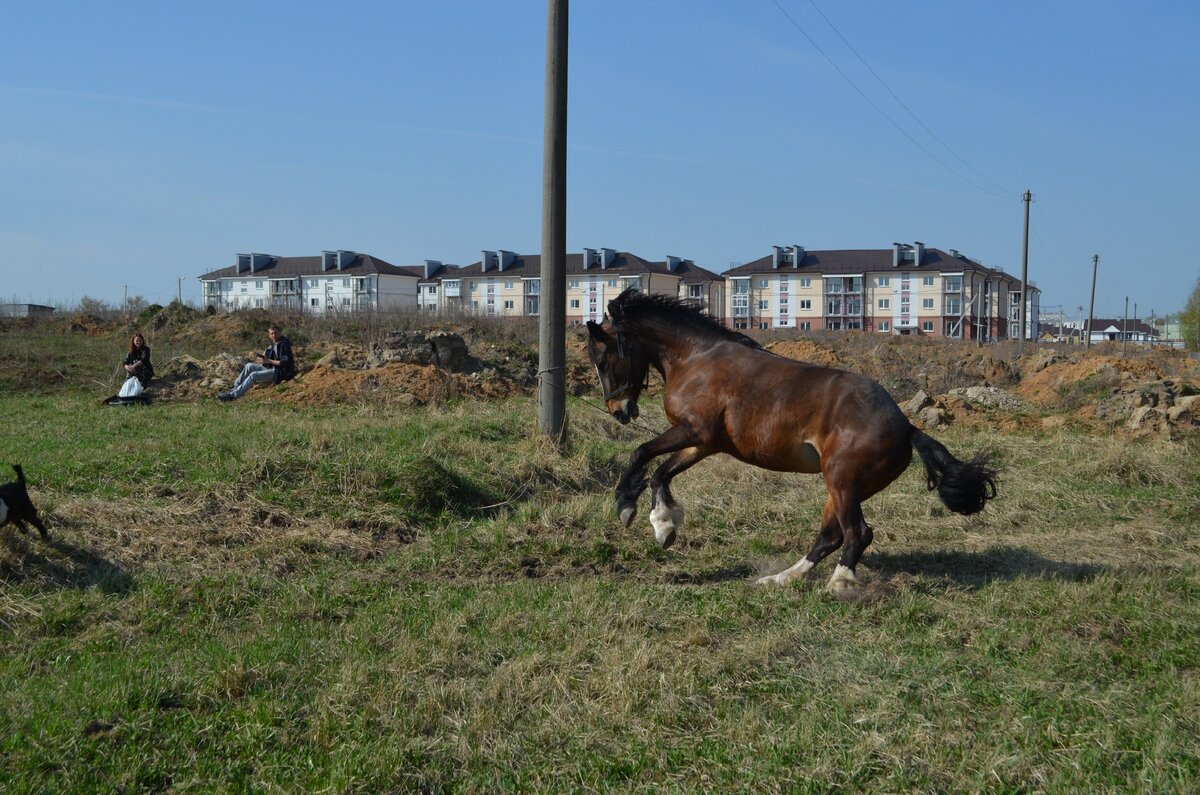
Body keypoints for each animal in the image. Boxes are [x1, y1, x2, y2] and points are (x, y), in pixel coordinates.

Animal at [585, 291, 998, 590]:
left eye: (603, 361)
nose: (619, 410)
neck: (696, 358)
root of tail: (906, 426)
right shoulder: (701, 443)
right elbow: (661, 474)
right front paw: (663, 526)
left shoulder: (693, 432)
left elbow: (641, 453)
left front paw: (626, 505)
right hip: (844, 487)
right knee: (829, 537)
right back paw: (780, 578)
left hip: (842, 481)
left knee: (857, 534)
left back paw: (838, 585)